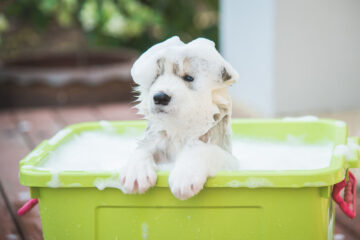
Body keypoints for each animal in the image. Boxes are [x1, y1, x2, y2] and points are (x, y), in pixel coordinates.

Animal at [120, 35, 239, 200]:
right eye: (155, 77)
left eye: (188, 78)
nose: (160, 97)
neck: (179, 128)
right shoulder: (158, 138)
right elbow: (143, 147)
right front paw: (136, 172)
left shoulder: (230, 159)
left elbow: (203, 149)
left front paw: (185, 176)